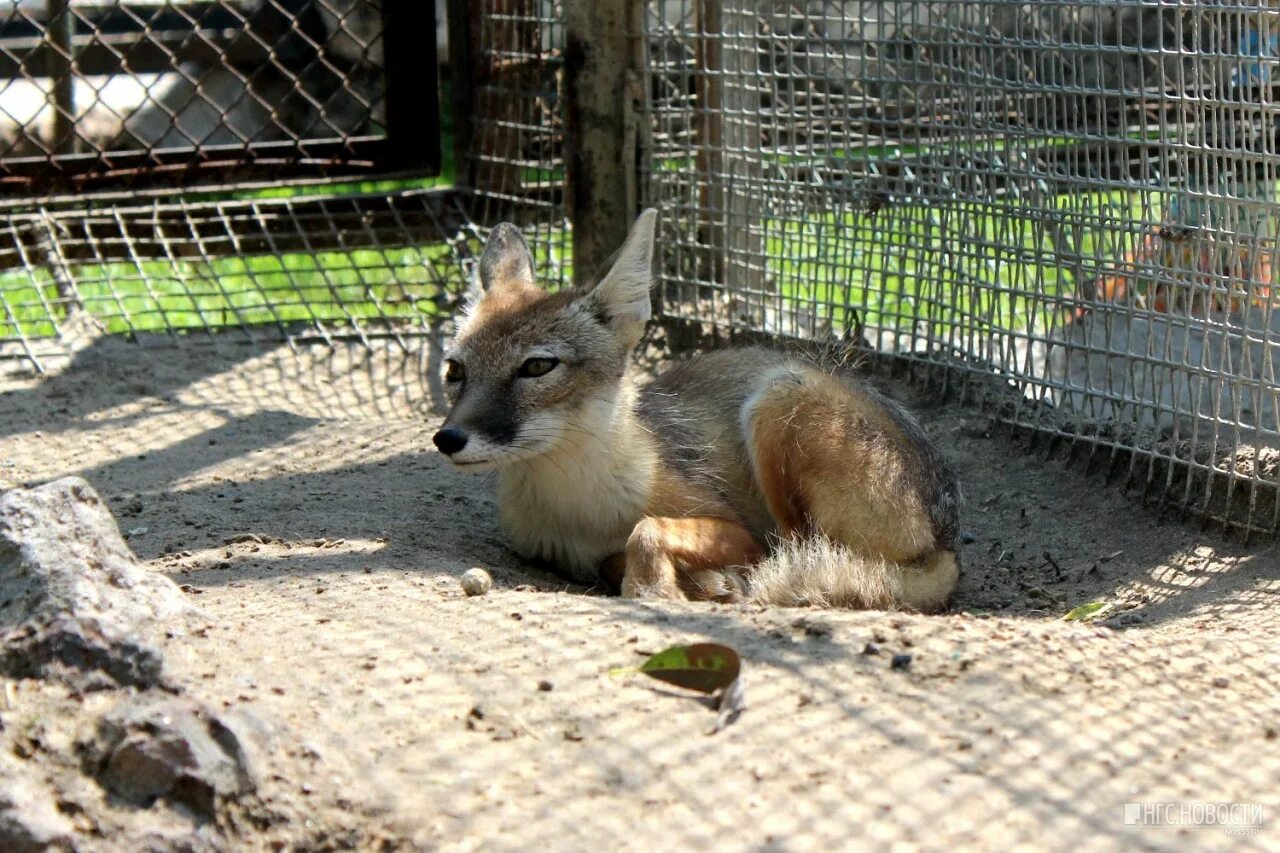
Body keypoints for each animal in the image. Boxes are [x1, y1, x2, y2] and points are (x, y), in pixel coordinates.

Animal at [430, 211, 962, 612]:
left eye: (538, 367)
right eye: (455, 370)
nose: (447, 438)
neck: (576, 505)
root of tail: (947, 542)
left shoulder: (739, 530)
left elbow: (646, 530)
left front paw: (657, 588)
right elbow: (611, 556)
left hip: (778, 399)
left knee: (796, 550)